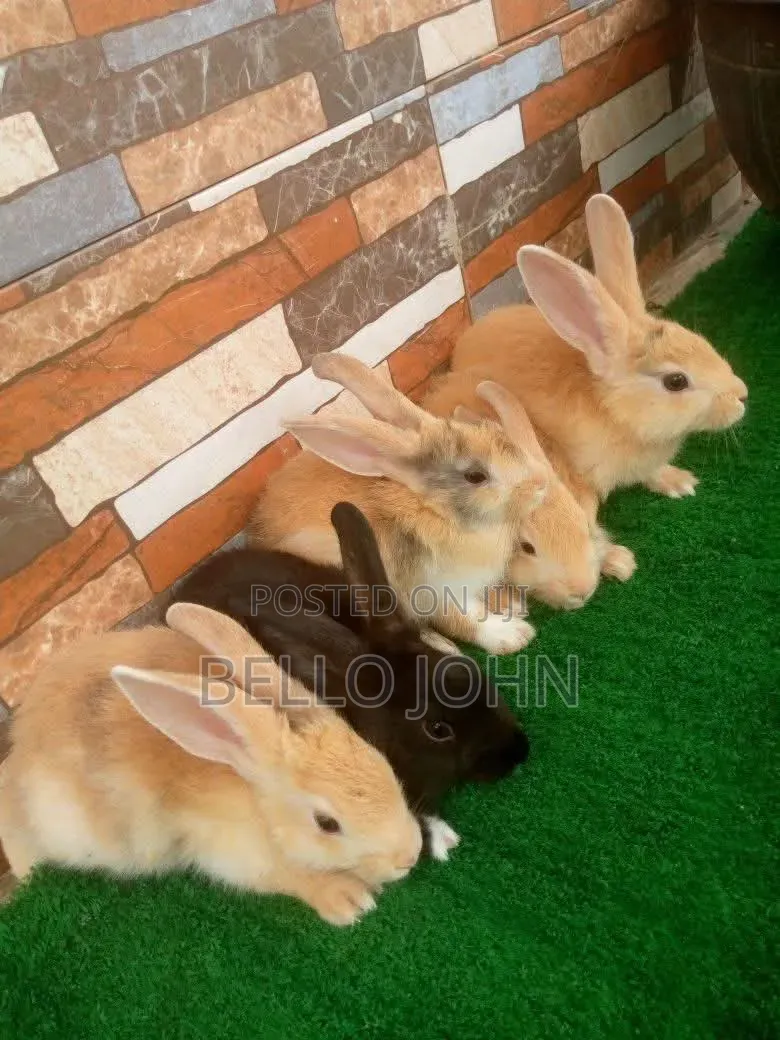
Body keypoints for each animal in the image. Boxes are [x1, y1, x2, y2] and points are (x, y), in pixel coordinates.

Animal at [0, 602, 423, 926]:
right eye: (327, 824)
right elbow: (288, 876)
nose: (411, 856)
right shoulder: (230, 853)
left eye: (385, 764)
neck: (259, 806)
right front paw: (350, 900)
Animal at [249, 354, 551, 655]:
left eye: (493, 429)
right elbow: (467, 620)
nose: (541, 482)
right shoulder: (435, 589)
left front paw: (511, 609)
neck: (435, 510)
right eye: (476, 476)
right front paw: (513, 635)